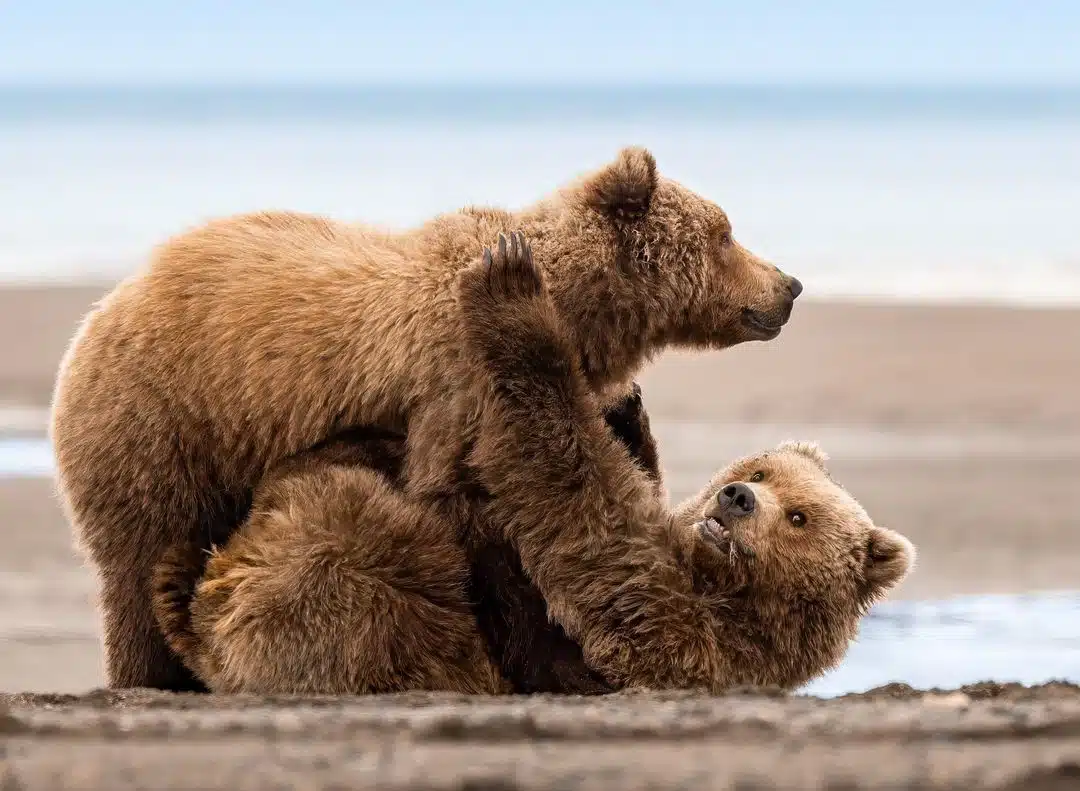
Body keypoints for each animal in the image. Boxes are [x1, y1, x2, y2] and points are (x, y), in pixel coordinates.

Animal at [50, 148, 803, 691]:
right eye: (725, 232)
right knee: (139, 560)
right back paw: (147, 673)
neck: (572, 305)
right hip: (164, 421)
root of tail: (96, 314)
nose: (790, 285)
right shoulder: (456, 382)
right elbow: (477, 514)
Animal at [152, 234, 911, 691]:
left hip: (383, 604)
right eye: (756, 470)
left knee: (366, 543)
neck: (729, 590)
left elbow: (578, 506)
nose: (737, 499)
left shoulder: (676, 627)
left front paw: (513, 285)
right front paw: (627, 406)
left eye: (800, 516)